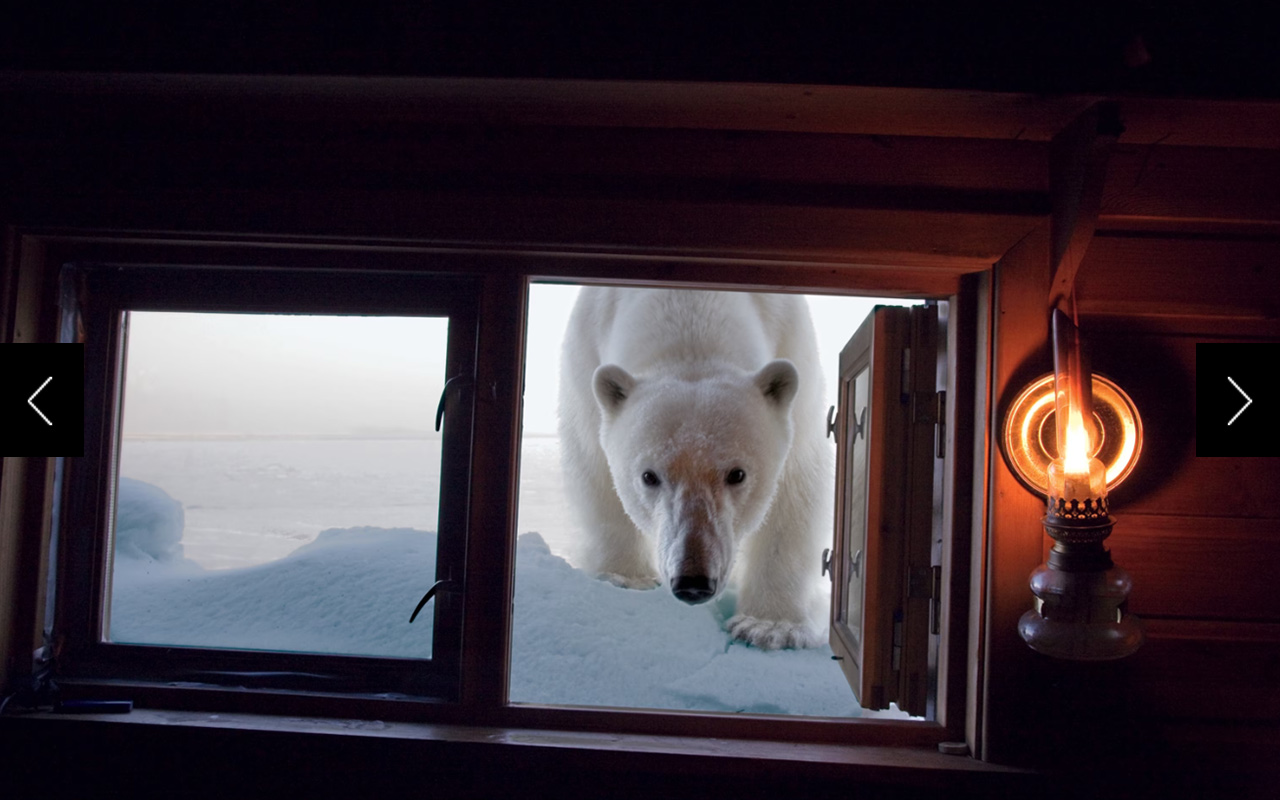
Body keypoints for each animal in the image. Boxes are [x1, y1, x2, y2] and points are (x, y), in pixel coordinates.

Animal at [560, 286, 829, 650]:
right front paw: (626, 577)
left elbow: (794, 488)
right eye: (649, 476)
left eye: (737, 474)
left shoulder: (793, 348)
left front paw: (769, 626)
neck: (690, 304)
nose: (693, 581)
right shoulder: (585, 355)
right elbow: (595, 469)